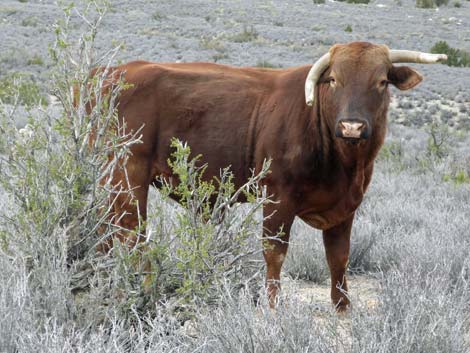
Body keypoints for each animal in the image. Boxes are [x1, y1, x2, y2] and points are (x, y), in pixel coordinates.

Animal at [93, 41, 446, 310]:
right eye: (333, 80)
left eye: (382, 81)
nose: (351, 127)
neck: (345, 166)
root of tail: (110, 72)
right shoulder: (278, 198)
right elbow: (275, 252)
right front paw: (274, 304)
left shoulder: (346, 207)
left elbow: (339, 256)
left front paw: (342, 304)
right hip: (127, 176)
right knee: (128, 234)